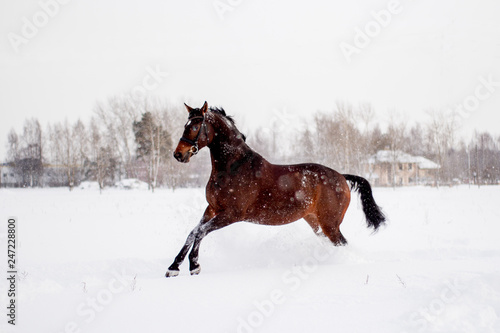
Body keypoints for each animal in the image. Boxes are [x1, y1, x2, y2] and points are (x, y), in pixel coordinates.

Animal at [166, 102, 384, 278]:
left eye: (195, 126)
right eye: (185, 125)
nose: (179, 154)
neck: (233, 167)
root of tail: (342, 177)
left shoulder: (232, 214)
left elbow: (200, 231)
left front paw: (194, 266)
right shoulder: (212, 208)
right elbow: (193, 232)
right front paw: (174, 267)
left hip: (330, 224)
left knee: (341, 244)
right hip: (316, 222)